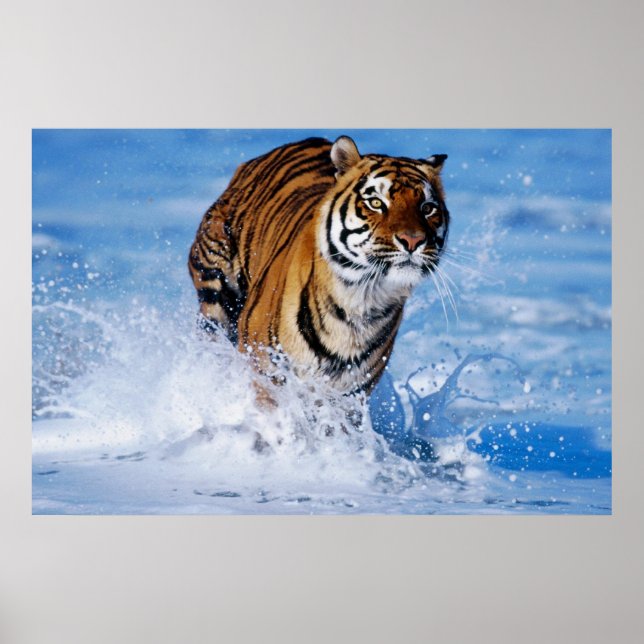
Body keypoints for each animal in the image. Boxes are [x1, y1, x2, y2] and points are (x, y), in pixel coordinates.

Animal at [188, 135, 449, 396]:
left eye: (427, 208)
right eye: (376, 203)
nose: (413, 240)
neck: (361, 301)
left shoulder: (350, 393)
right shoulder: (266, 372)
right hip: (216, 294)